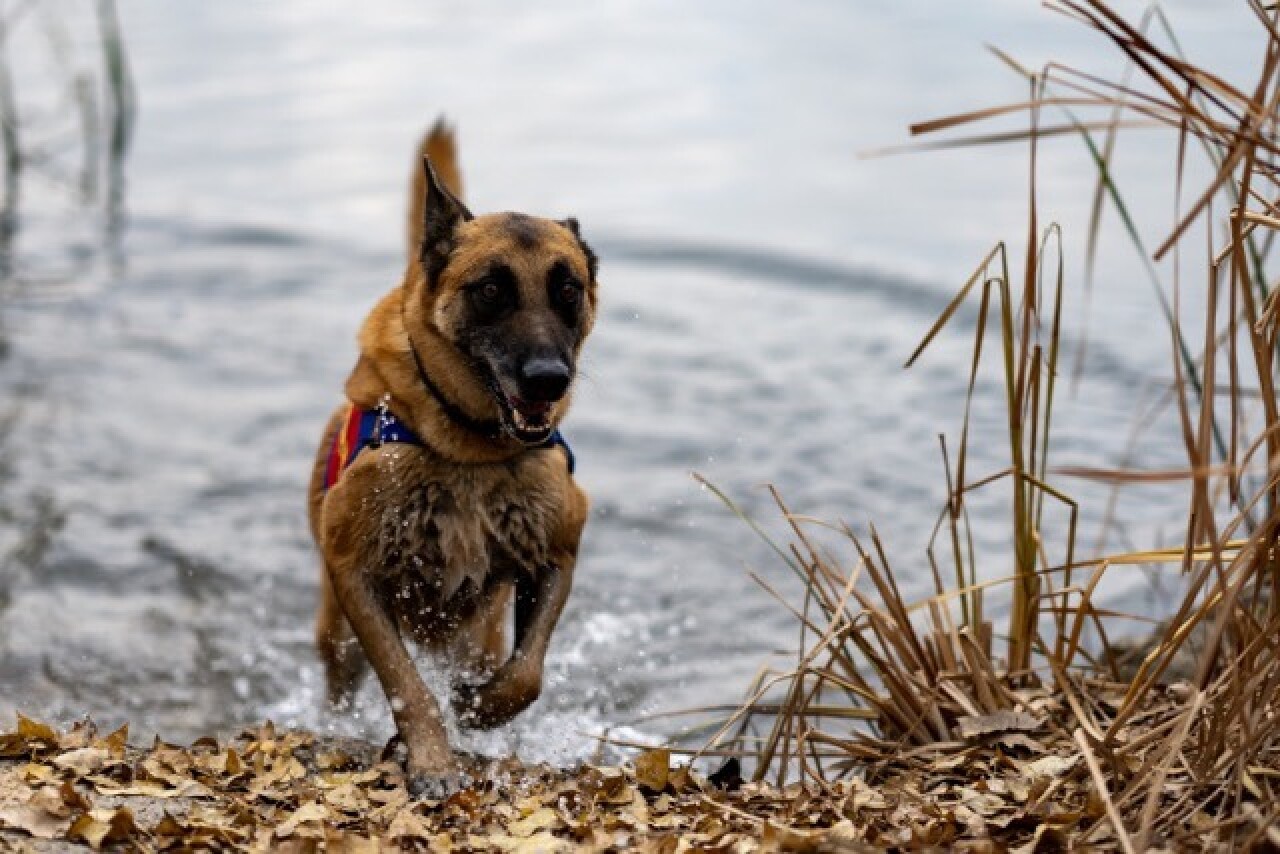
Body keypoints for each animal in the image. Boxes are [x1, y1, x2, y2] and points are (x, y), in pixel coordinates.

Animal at [307, 118, 596, 793]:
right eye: (490, 289)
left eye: (567, 290)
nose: (549, 380)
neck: (470, 450)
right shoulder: (356, 575)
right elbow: (407, 685)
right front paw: (434, 761)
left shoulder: (557, 555)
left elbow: (527, 674)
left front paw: (479, 709)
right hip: (336, 633)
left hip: (477, 634)